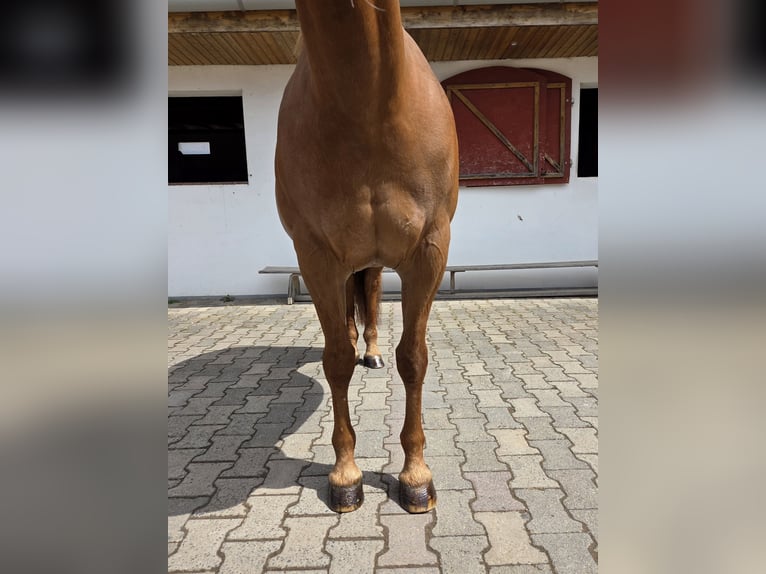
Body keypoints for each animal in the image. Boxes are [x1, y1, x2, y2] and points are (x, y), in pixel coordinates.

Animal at [274, 0, 459, 513]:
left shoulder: (429, 252)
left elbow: (413, 358)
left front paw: (415, 475)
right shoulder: (315, 256)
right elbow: (336, 357)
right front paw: (345, 474)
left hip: (375, 261)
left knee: (371, 296)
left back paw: (372, 353)